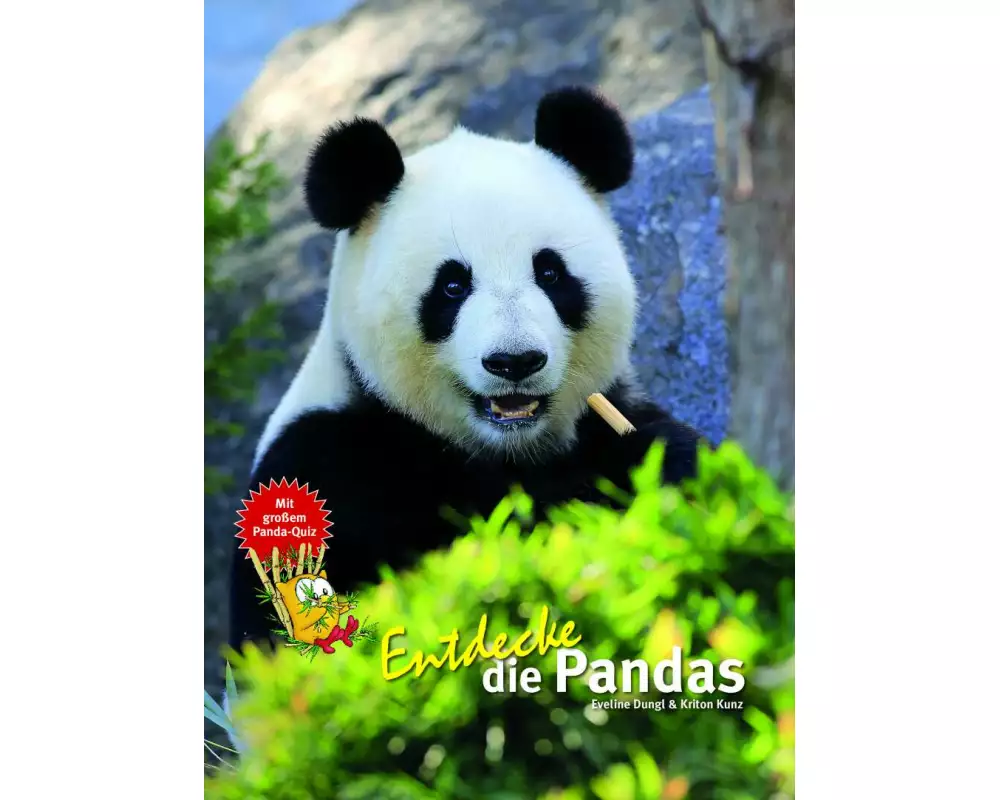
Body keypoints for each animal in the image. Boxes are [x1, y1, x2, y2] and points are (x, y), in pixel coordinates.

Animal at [229, 87, 706, 651]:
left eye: (550, 273)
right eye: (452, 286)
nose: (515, 361)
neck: (505, 452)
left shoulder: (609, 412)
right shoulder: (329, 464)